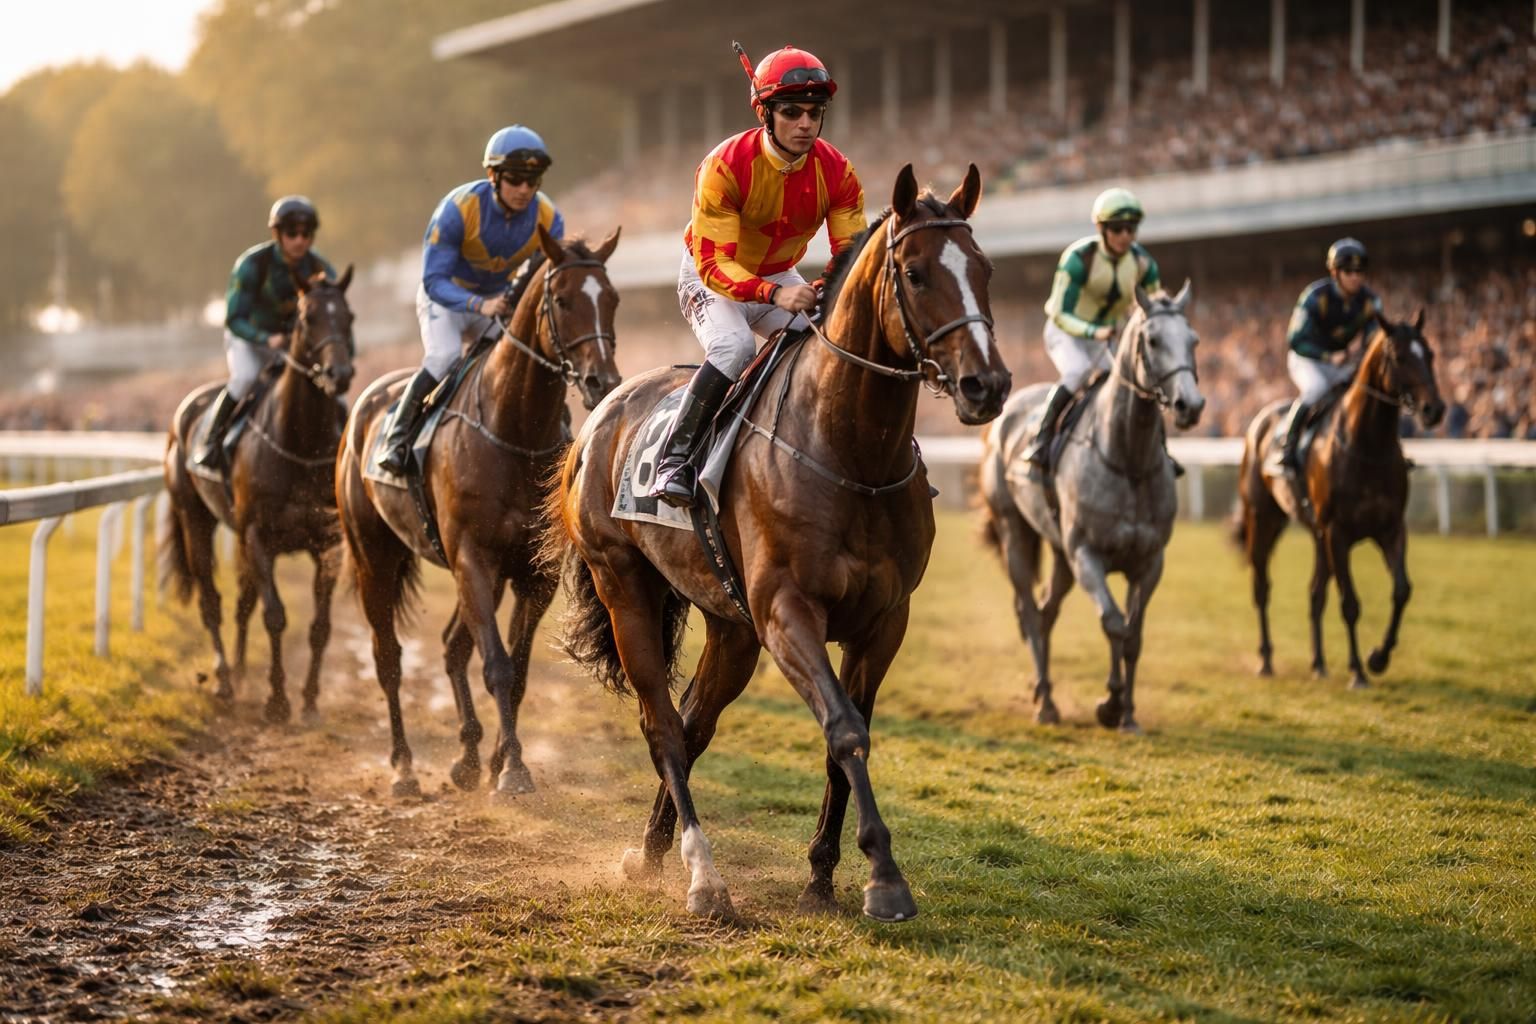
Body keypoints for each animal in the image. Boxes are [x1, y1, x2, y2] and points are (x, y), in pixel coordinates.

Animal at [161, 268, 356, 722]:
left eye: (349, 316)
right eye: (307, 317)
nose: (338, 373)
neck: (300, 443)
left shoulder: (328, 544)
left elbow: (320, 626)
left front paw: (309, 700)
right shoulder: (258, 537)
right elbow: (276, 615)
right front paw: (277, 700)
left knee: (240, 604)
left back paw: (237, 669)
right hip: (195, 517)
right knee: (211, 600)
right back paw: (224, 680)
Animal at [335, 226, 622, 800]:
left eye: (613, 300)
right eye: (563, 300)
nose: (602, 382)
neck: (514, 431)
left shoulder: (534, 574)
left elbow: (519, 668)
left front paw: (498, 761)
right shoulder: (473, 558)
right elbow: (498, 667)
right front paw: (511, 770)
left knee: (449, 646)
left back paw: (466, 756)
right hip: (374, 555)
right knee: (388, 657)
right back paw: (403, 766)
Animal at [542, 165, 1011, 921]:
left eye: (985, 269)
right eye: (914, 274)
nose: (986, 384)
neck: (850, 453)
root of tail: (602, 414)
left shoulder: (885, 621)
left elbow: (846, 736)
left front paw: (823, 875)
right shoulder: (788, 610)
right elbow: (843, 728)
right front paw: (884, 879)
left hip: (731, 625)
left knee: (693, 724)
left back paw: (651, 850)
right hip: (625, 587)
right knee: (662, 724)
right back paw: (702, 873)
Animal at [979, 285, 1203, 733]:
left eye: (1194, 340)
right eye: (1153, 340)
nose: (1191, 405)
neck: (1128, 459)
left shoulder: (1149, 562)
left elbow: (1133, 634)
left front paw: (1128, 714)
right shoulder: (1087, 554)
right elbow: (1113, 623)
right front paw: (1110, 703)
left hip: (1060, 554)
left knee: (1046, 612)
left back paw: (1045, 693)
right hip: (1016, 532)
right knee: (1029, 610)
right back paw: (1045, 703)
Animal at [1236, 310, 1445, 688]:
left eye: (1431, 354)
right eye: (1399, 357)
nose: (1434, 409)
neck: (1368, 447)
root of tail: (1257, 423)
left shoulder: (1390, 529)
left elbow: (1402, 590)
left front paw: (1378, 657)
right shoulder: (1338, 533)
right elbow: (1350, 603)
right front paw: (1359, 671)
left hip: (1317, 536)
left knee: (1315, 593)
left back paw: (1318, 663)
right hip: (1263, 519)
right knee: (1261, 587)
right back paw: (1266, 661)